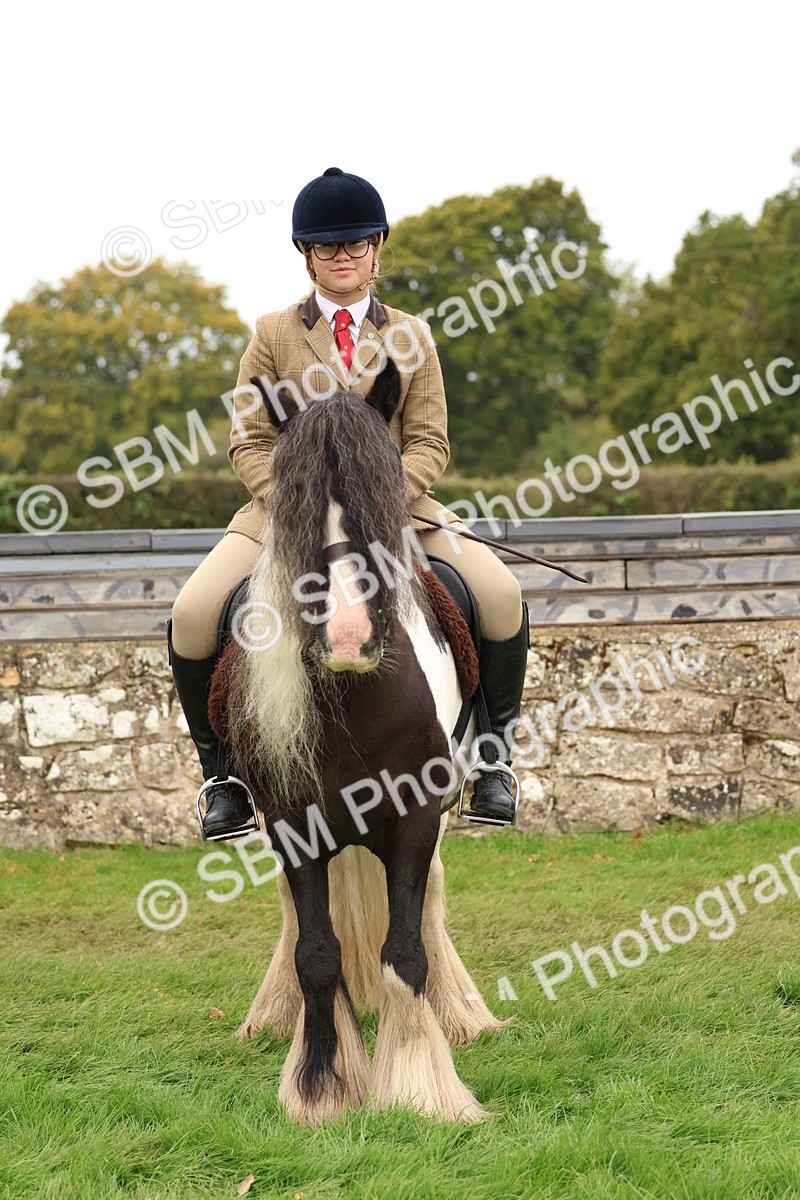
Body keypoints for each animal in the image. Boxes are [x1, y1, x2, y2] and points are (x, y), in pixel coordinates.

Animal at [208, 358, 507, 1125]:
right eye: (297, 507)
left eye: (381, 499)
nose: (347, 639)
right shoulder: (292, 821)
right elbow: (318, 953)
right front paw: (321, 1086)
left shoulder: (417, 815)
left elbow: (405, 949)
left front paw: (421, 1087)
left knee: (426, 907)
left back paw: (459, 1016)